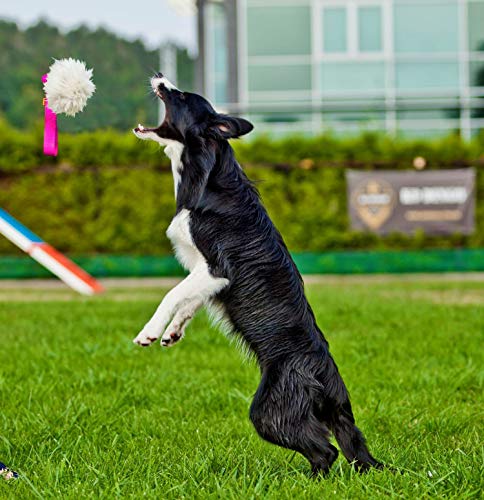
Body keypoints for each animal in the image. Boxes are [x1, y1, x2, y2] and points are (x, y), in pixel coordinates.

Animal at [132, 72, 382, 474]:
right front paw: (173, 332)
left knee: (324, 451)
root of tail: (330, 384)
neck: (206, 179)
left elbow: (172, 294)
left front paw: (150, 333)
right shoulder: (205, 274)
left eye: (180, 96)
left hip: (268, 411)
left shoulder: (216, 269)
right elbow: (189, 301)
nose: (158, 76)